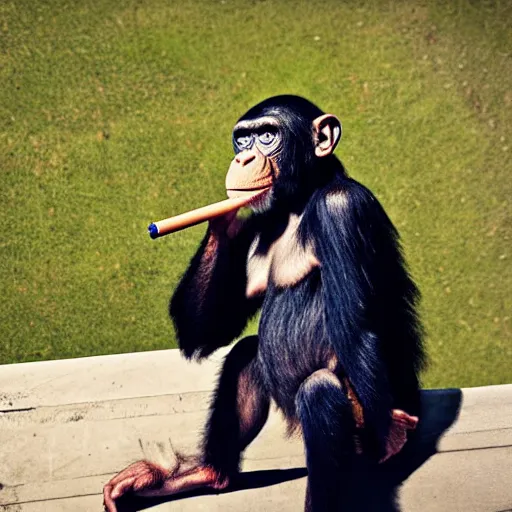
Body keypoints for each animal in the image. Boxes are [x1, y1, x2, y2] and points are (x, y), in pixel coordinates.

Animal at [103, 96, 424, 512]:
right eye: (243, 139)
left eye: (268, 135)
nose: (242, 158)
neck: (300, 202)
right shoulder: (256, 228)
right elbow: (208, 332)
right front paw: (222, 214)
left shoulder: (341, 209)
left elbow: (356, 329)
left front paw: (390, 437)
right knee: (245, 353)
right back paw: (204, 474)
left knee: (320, 394)